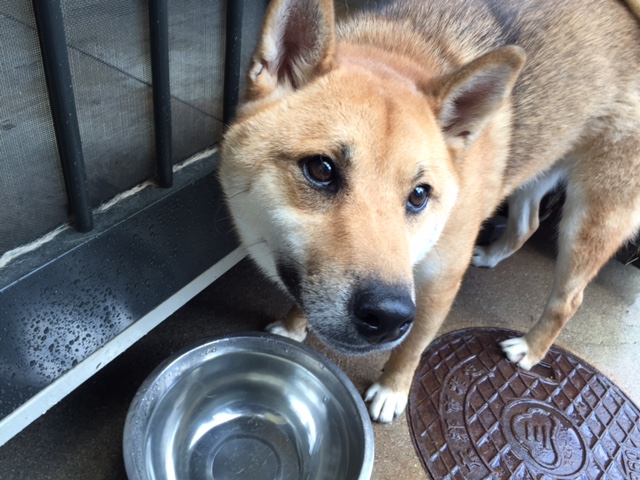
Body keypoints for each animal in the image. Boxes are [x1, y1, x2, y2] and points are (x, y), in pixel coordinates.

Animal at [220, 0, 640, 424]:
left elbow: (413, 346)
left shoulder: (440, 282)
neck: (396, 48)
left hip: (590, 221)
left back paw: (529, 349)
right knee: (527, 225)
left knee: (568, 299)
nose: (388, 316)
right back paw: (492, 255)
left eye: (419, 195)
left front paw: (392, 390)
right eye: (321, 169)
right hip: (534, 173)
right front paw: (293, 327)